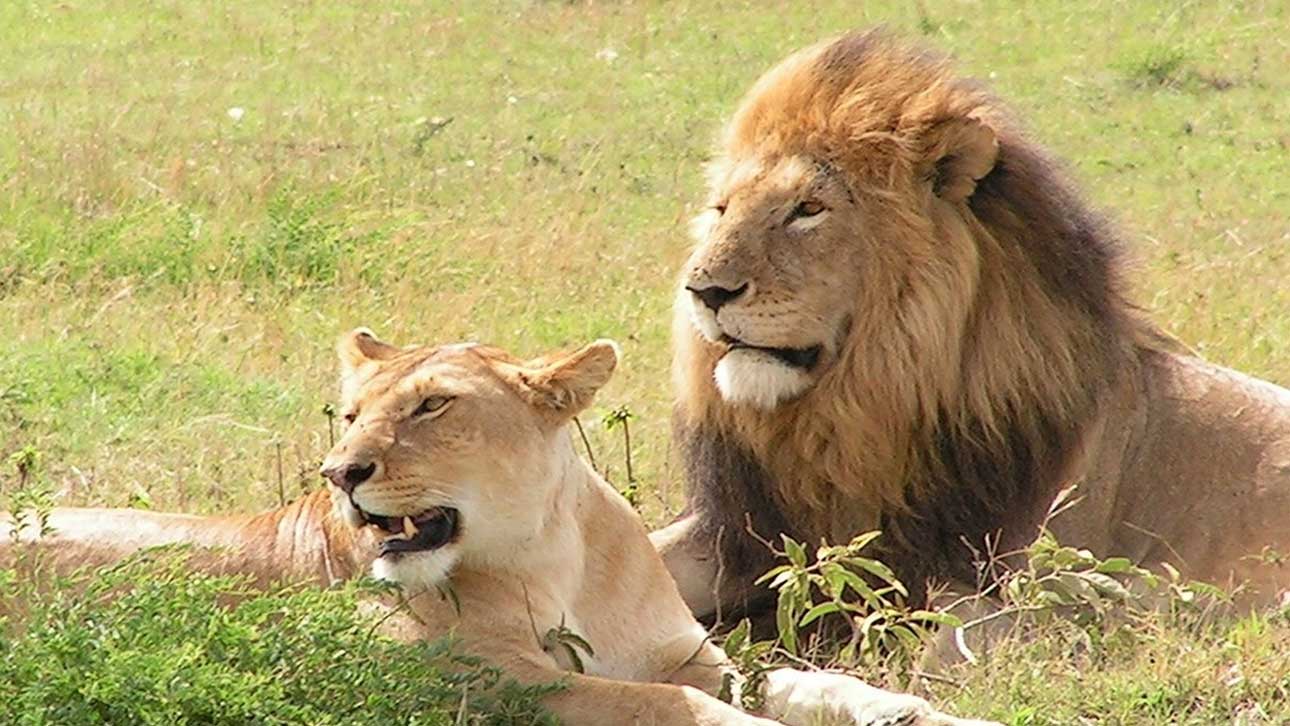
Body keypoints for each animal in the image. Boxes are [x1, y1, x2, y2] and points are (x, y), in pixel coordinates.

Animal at [2, 330, 993, 726]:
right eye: (350, 416)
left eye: (431, 406)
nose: (339, 473)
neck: (548, 555)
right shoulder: (485, 684)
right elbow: (662, 705)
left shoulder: (687, 652)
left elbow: (799, 679)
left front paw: (918, 711)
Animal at [650, 29, 1290, 629]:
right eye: (722, 209)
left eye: (808, 209)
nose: (703, 291)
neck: (857, 411)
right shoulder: (741, 532)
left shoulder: (1030, 579)